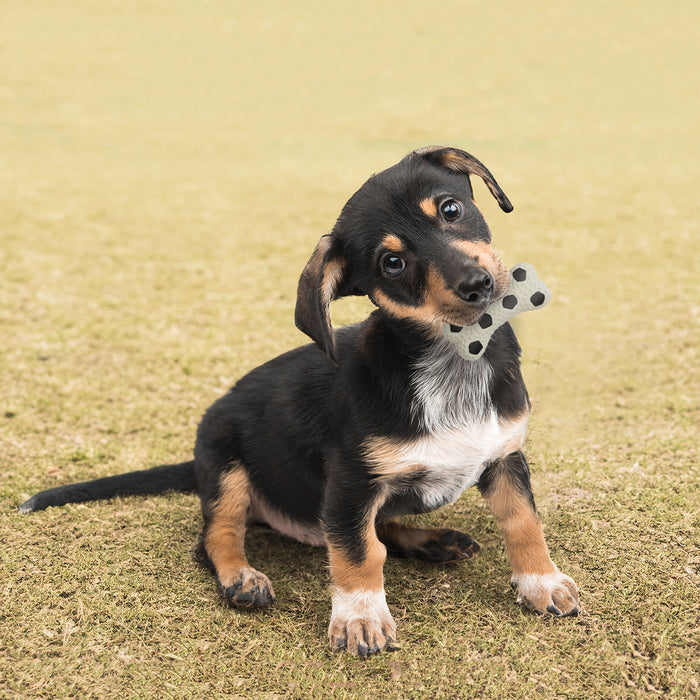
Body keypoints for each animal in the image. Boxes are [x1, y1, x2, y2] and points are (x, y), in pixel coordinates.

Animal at [21, 146, 580, 656]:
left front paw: (541, 583)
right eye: (392, 263)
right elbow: (358, 553)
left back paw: (432, 540)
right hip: (226, 461)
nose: (478, 284)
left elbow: (524, 524)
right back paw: (241, 577)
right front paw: (359, 617)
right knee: (217, 537)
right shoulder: (351, 481)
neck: (452, 362)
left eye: (450, 209)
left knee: (378, 527)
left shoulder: (505, 456)